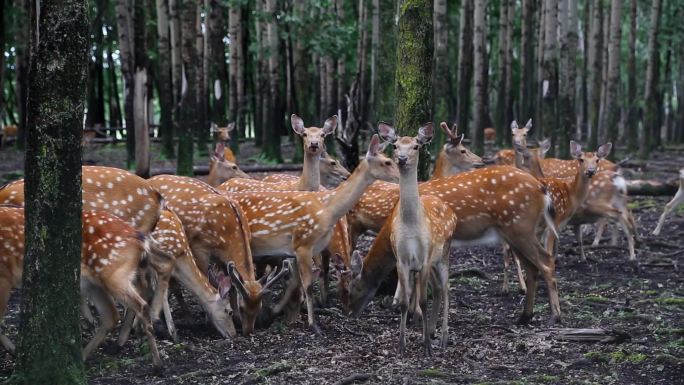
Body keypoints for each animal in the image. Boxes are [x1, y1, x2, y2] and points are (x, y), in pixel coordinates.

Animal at [0, 207, 162, 368]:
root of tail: (140, 238)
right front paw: (14, 351)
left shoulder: (5, 277)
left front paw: (14, 351)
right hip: (94, 283)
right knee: (111, 316)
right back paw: (82, 357)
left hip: (114, 275)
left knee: (141, 306)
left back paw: (157, 364)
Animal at [227, 136, 398, 332]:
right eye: (387, 161)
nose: (401, 174)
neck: (327, 210)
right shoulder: (303, 243)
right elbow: (308, 284)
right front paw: (314, 325)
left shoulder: (305, 249)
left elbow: (299, 280)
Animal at [336, 163, 560, 324]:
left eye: (349, 289)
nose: (348, 312)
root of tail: (542, 188)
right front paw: (411, 311)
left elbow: (417, 278)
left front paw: (415, 314)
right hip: (514, 232)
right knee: (533, 267)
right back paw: (524, 316)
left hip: (520, 226)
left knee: (547, 261)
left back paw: (554, 315)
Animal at [376, 123, 456, 354]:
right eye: (394, 145)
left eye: (415, 146)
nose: (402, 158)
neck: (411, 226)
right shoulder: (401, 259)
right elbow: (404, 301)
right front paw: (402, 345)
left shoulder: (426, 257)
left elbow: (422, 301)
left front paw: (427, 347)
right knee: (438, 289)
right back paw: (431, 332)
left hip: (445, 253)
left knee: (446, 289)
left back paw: (443, 337)